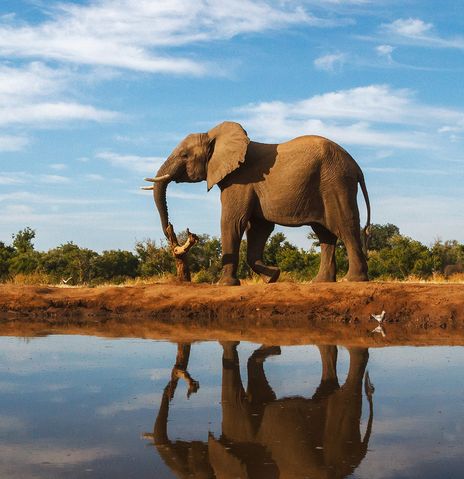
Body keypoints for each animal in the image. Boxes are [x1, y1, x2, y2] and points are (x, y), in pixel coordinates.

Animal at [143, 122, 372, 284]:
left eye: (184, 155)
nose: (172, 232)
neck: (214, 136)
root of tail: (356, 166)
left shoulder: (240, 181)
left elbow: (233, 222)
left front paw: (225, 284)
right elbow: (258, 228)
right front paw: (272, 277)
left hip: (336, 183)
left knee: (344, 226)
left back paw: (352, 280)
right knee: (325, 234)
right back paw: (320, 282)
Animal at [147, 344, 376, 478]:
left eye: (190, 469)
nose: (191, 385)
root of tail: (359, 454)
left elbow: (235, 399)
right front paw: (274, 350)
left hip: (337, 440)